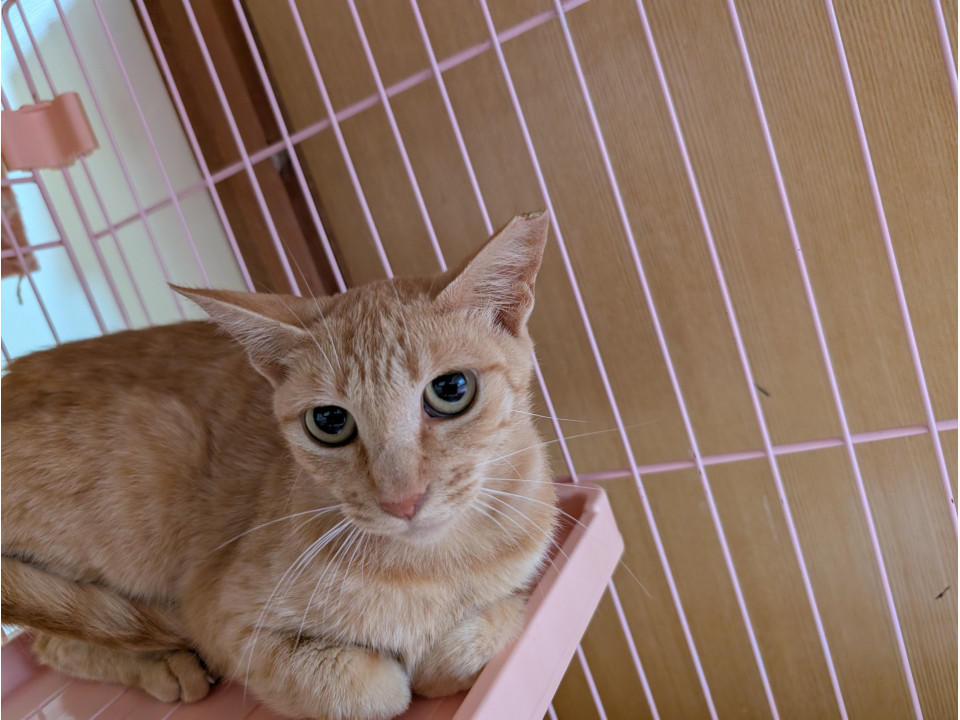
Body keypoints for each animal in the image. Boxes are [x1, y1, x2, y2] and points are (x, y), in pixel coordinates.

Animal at [1, 211, 559, 720]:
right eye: (330, 421)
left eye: (452, 390)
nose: (402, 500)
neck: (433, 569)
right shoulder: (224, 621)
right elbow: (368, 689)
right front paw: (399, 672)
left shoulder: (527, 573)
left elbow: (496, 621)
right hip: (158, 443)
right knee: (52, 641)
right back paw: (168, 666)